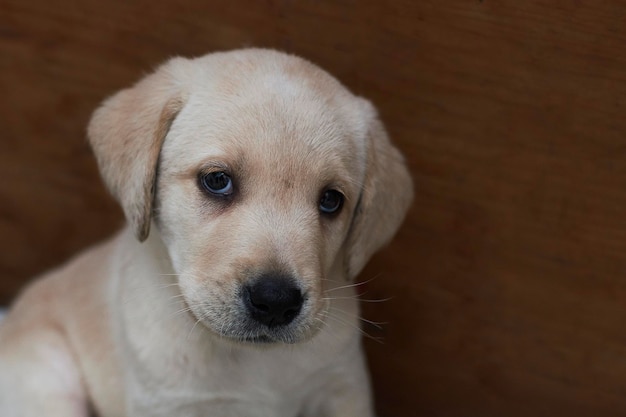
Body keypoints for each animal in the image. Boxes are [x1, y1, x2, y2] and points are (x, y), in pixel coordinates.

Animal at [0, 49, 412, 416]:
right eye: (217, 180)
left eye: (331, 200)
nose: (276, 301)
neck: (253, 361)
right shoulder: (170, 404)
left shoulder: (341, 388)